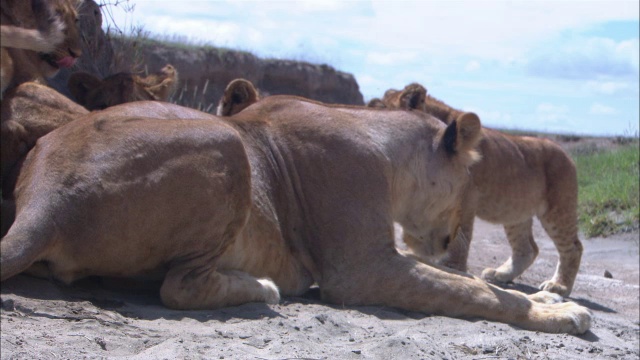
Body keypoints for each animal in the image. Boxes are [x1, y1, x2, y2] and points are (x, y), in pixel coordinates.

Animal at [376, 83, 584, 296]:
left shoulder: (465, 196)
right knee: (528, 248)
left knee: (573, 247)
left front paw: (451, 268)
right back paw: (502, 274)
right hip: (516, 213)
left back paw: (559, 286)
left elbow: (459, 236)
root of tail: (565, 152)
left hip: (558, 210)